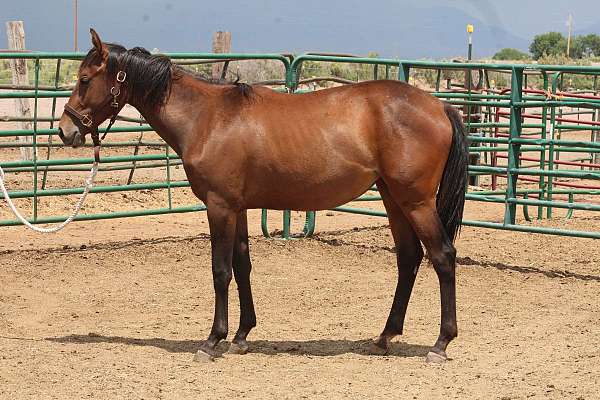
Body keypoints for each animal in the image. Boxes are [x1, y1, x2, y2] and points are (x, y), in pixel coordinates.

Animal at [58, 29, 468, 364]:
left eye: (84, 79)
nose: (65, 130)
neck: (207, 118)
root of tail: (440, 106)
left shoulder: (219, 206)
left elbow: (220, 271)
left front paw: (213, 341)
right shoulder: (236, 208)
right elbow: (243, 266)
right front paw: (241, 335)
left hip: (416, 202)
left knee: (442, 256)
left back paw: (440, 344)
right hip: (393, 199)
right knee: (409, 258)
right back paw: (384, 337)